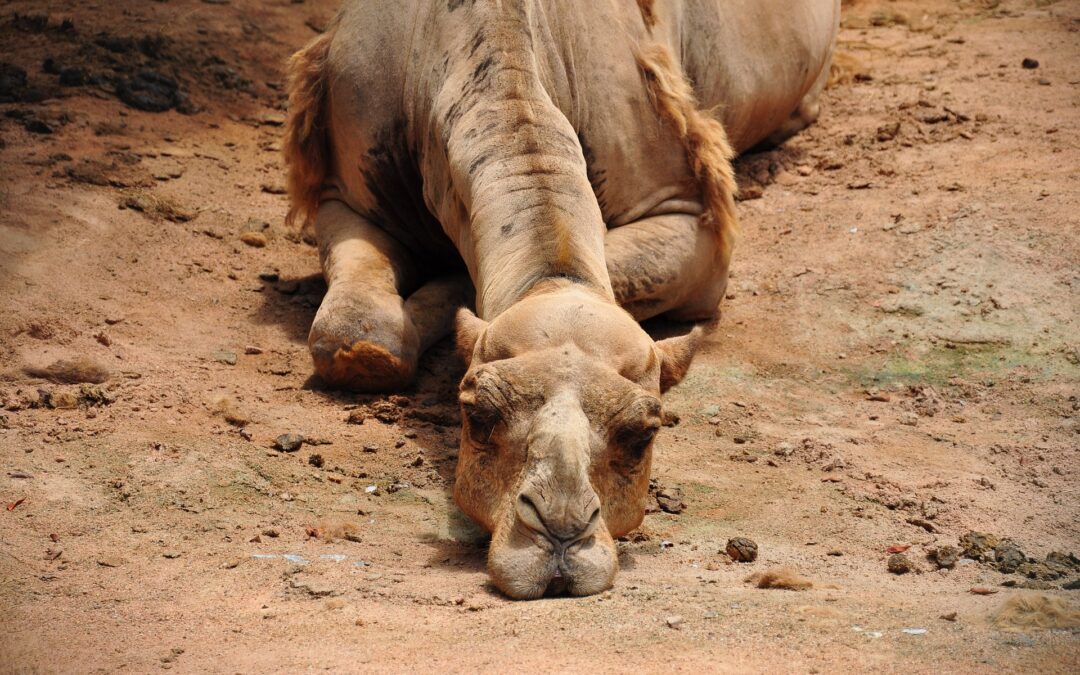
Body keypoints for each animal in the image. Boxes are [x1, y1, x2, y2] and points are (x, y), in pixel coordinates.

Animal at [287, 1, 842, 600]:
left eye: (643, 435)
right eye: (477, 414)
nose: (559, 533)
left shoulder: (692, 219)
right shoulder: (343, 190)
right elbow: (357, 337)